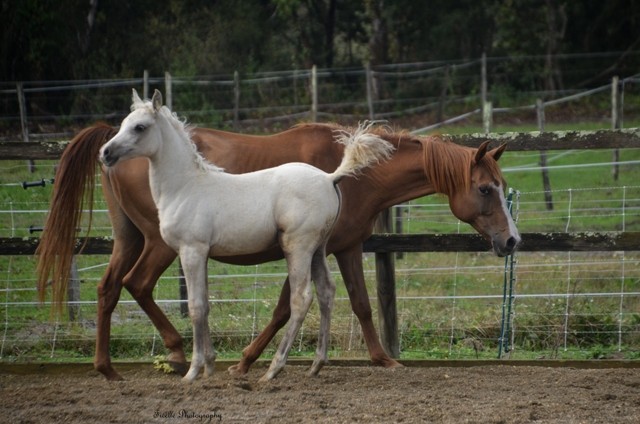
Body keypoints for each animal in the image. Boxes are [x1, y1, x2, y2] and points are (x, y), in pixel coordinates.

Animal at [36, 115, 520, 380]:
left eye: (501, 187)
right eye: (484, 189)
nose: (512, 240)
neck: (349, 173)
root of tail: (110, 141)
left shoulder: (339, 248)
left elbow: (358, 304)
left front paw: (382, 359)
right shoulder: (308, 248)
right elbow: (290, 307)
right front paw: (249, 362)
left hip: (129, 238)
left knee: (108, 289)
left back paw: (107, 367)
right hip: (158, 243)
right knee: (137, 284)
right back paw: (175, 351)